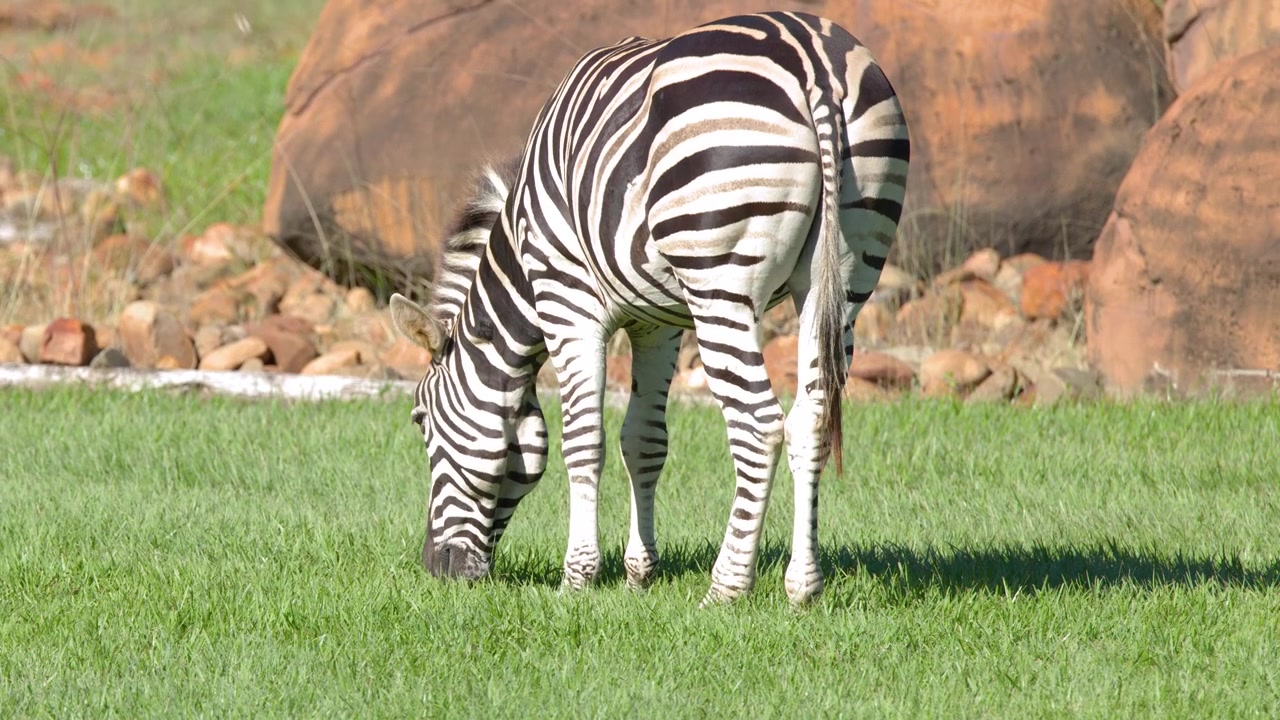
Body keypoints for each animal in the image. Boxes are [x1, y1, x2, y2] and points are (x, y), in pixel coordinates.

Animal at [390, 11, 910, 605]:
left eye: (420, 420)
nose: (437, 569)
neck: (521, 259)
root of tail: (812, 60)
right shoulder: (657, 324)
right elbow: (643, 440)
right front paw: (639, 572)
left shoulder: (569, 303)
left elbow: (583, 441)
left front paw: (577, 578)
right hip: (843, 278)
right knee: (811, 418)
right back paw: (802, 588)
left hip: (719, 280)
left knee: (758, 425)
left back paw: (726, 588)